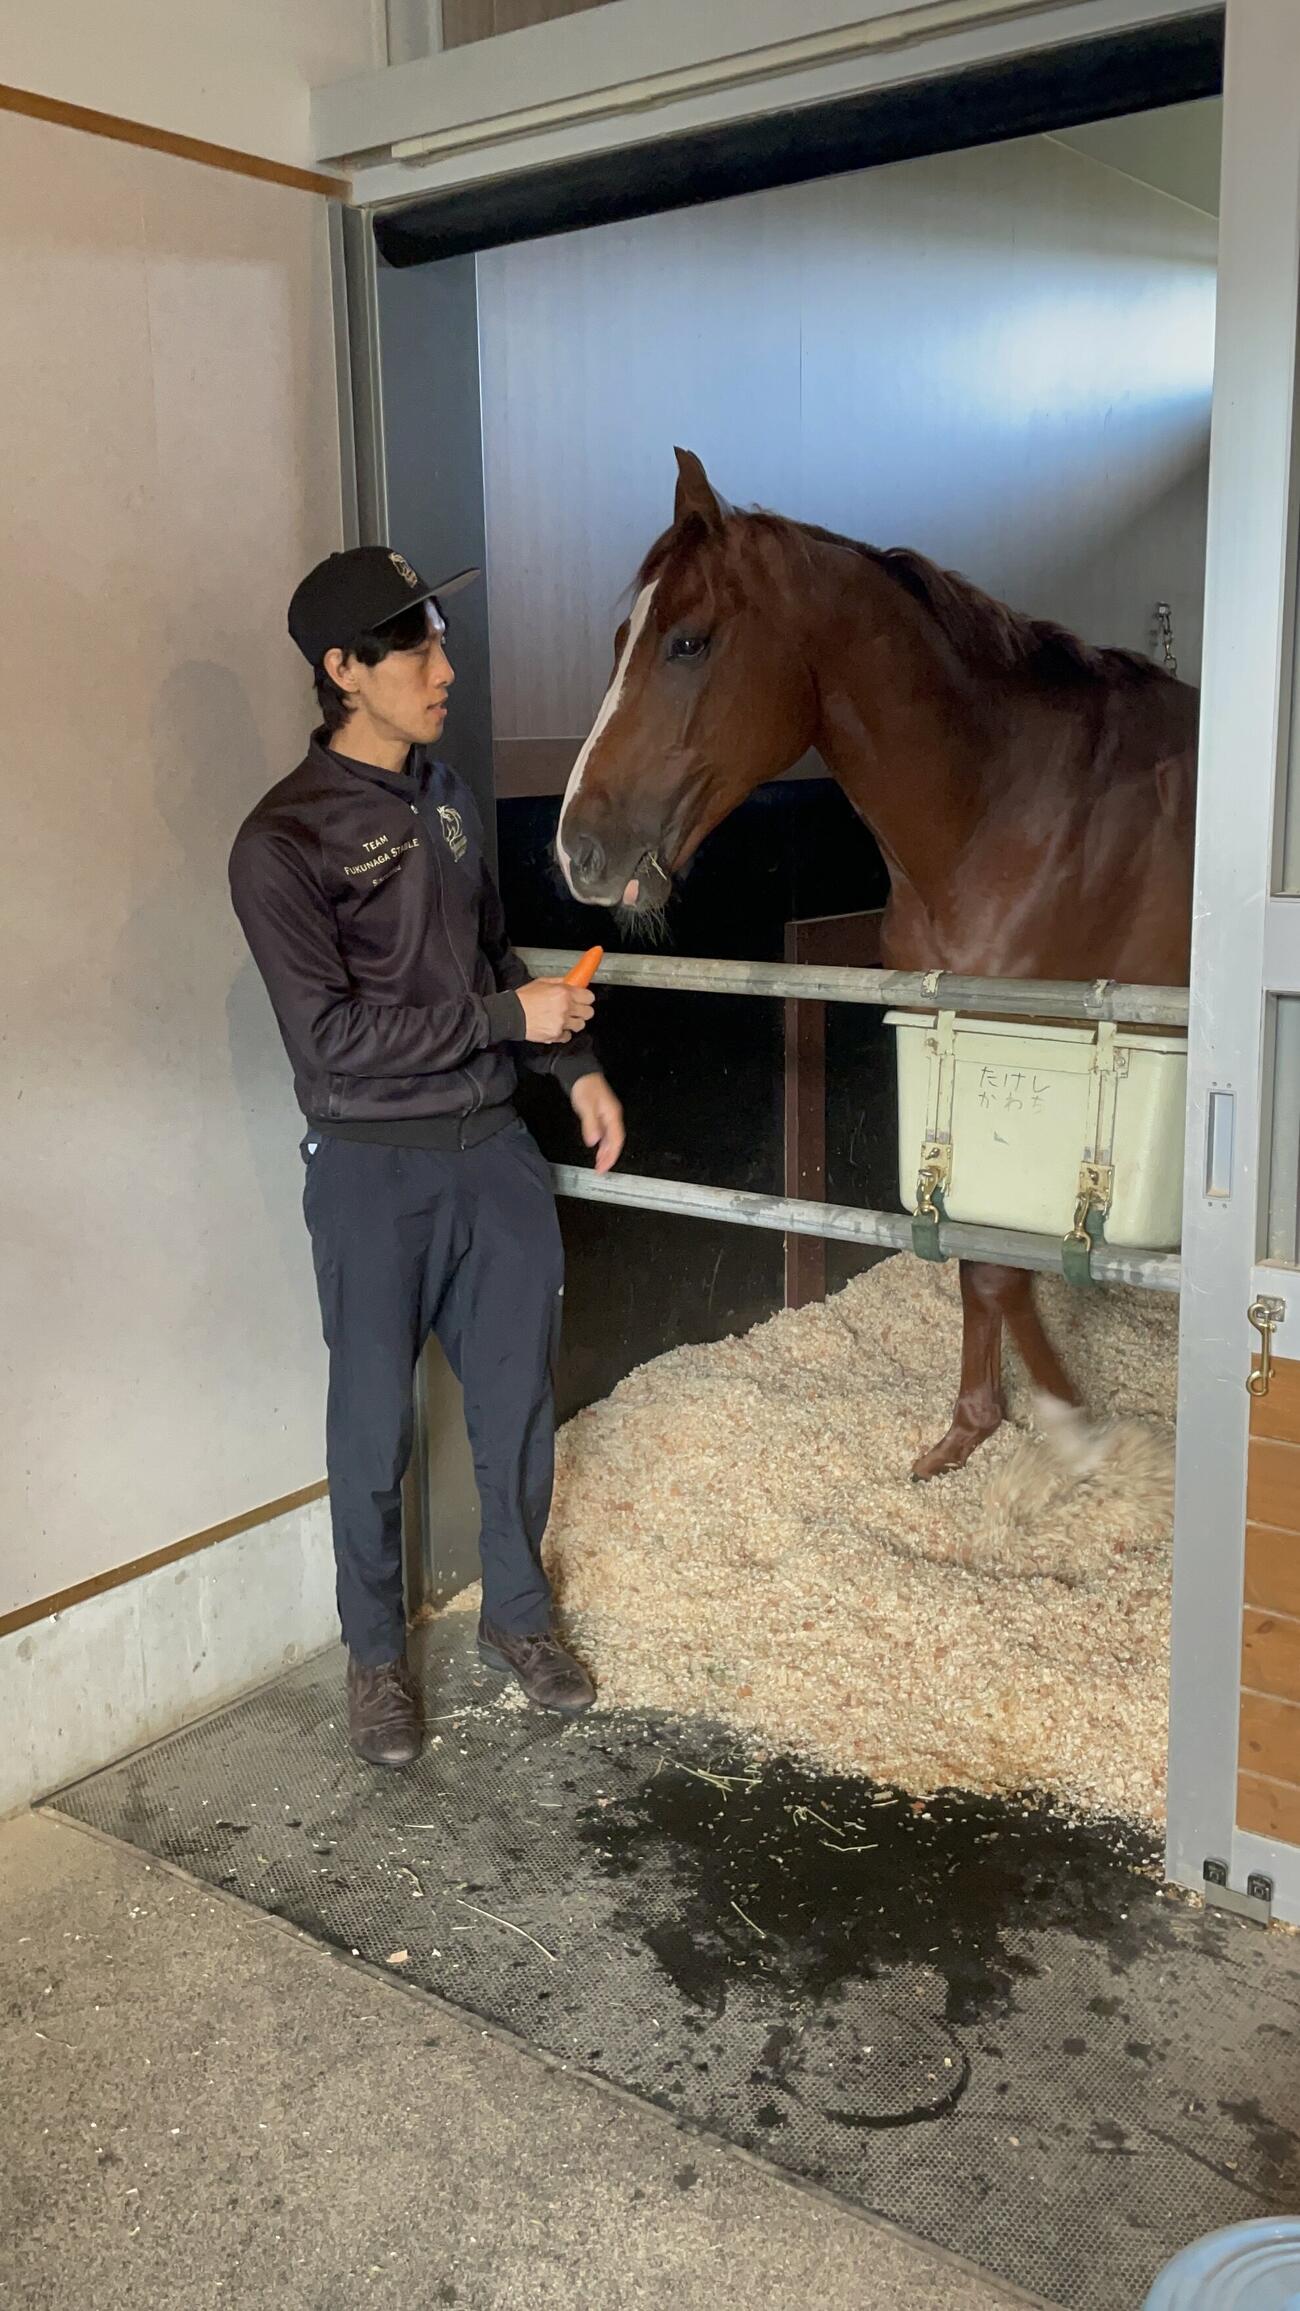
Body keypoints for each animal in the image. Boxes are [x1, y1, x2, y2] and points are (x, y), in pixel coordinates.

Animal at [555, 449, 1197, 1481]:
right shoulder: (948, 1045)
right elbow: (976, 1263)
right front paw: (968, 1430)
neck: (1008, 807)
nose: (577, 851)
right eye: (622, 639)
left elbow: (999, 1267)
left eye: (687, 643)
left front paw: (1075, 1429)